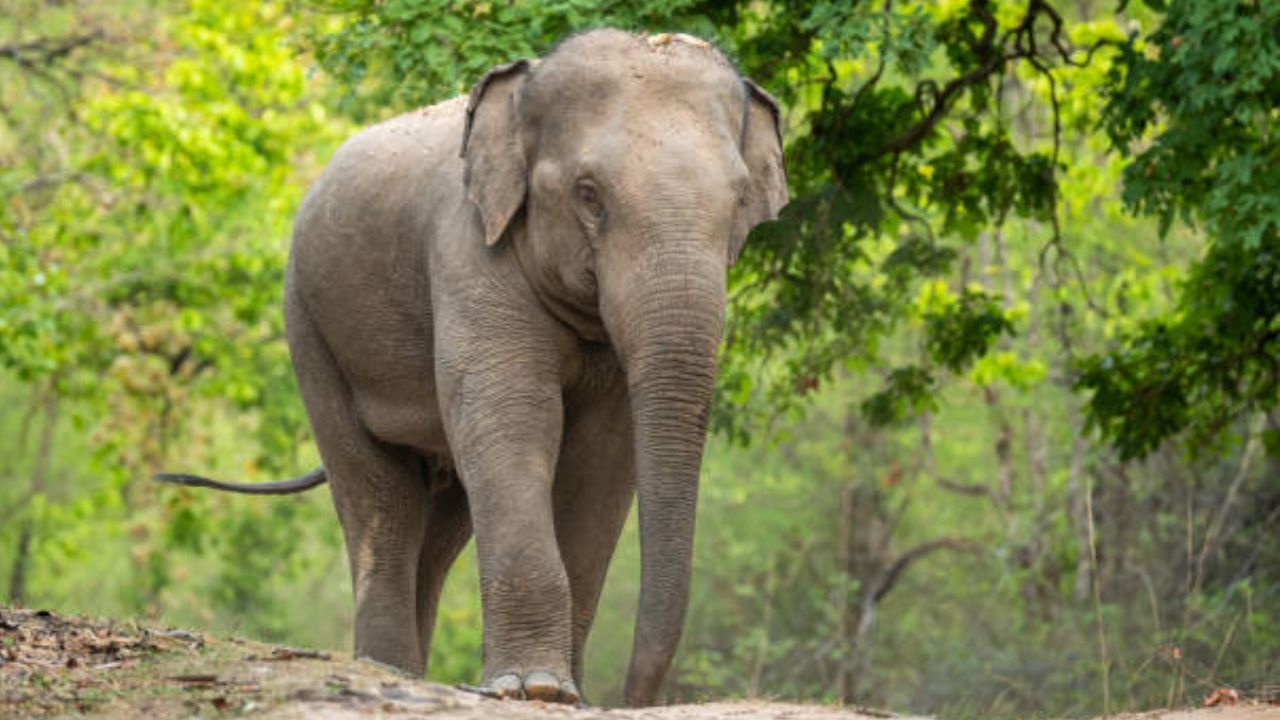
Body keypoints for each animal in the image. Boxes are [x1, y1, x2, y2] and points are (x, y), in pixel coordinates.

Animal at [161, 29, 788, 707]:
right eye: (588, 195)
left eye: (739, 201)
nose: (629, 698)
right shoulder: (466, 253)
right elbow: (514, 419)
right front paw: (534, 689)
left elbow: (603, 455)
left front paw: (561, 693)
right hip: (308, 327)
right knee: (381, 497)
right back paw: (389, 670)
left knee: (442, 521)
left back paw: (411, 669)